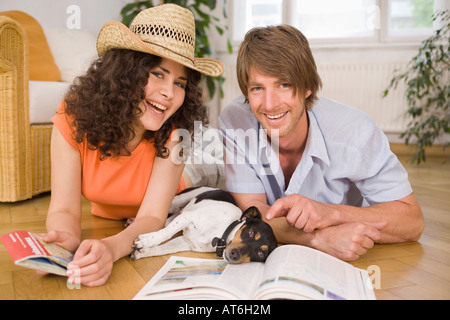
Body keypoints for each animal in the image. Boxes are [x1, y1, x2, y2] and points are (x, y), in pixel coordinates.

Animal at [130, 186, 278, 264]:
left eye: (260, 253)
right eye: (251, 232)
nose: (234, 255)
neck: (220, 232)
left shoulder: (186, 242)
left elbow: (163, 248)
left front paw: (143, 252)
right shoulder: (187, 217)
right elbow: (164, 234)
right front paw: (146, 240)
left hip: (178, 213)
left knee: (167, 221)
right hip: (177, 201)